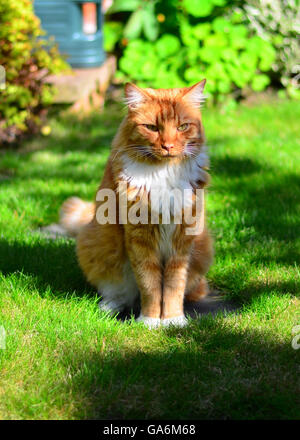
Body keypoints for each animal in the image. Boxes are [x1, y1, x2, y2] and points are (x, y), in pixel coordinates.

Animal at [59, 80, 213, 326]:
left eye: (182, 127)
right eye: (152, 128)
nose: (168, 146)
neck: (163, 172)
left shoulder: (181, 238)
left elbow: (173, 285)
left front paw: (173, 320)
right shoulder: (140, 236)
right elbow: (149, 283)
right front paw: (150, 320)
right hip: (96, 243)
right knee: (119, 292)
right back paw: (109, 307)